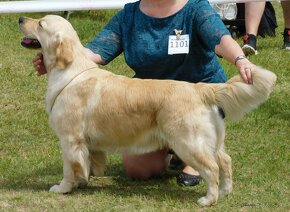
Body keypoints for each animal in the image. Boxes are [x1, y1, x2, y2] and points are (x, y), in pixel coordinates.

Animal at [18, 15, 276, 207]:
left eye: (40, 24)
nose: (21, 18)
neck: (70, 71)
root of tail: (200, 89)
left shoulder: (69, 138)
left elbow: (69, 167)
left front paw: (63, 188)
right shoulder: (85, 143)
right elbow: (85, 164)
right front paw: (82, 182)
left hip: (187, 142)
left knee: (211, 168)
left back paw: (208, 199)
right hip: (213, 140)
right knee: (225, 161)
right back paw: (224, 192)